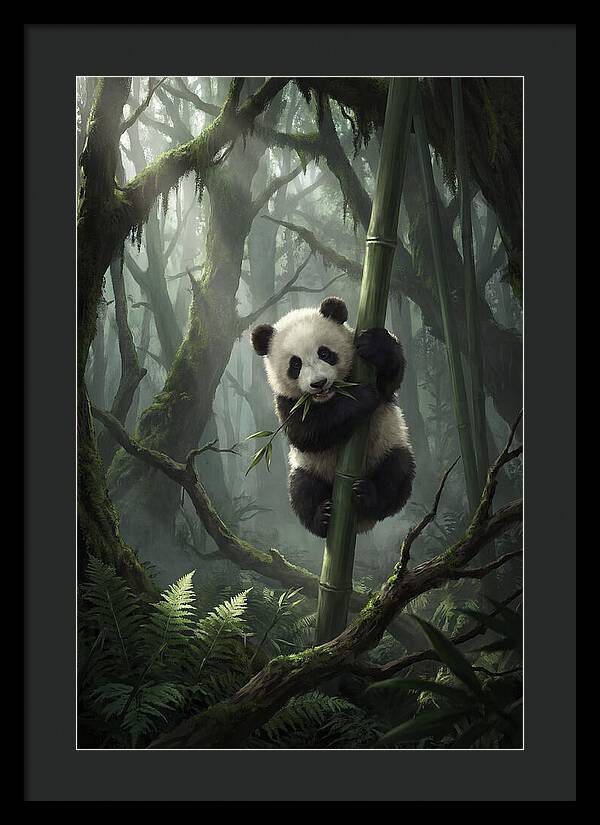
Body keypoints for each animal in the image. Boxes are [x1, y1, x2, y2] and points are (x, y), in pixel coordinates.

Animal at [251, 296, 415, 538]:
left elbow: (390, 379)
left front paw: (375, 345)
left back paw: (368, 496)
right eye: (295, 364)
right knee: (302, 490)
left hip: (388, 446)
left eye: (324, 353)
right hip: (309, 468)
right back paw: (323, 517)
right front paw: (361, 396)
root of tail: (360, 524)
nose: (318, 383)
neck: (330, 397)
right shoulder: (286, 401)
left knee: (396, 473)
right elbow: (306, 433)